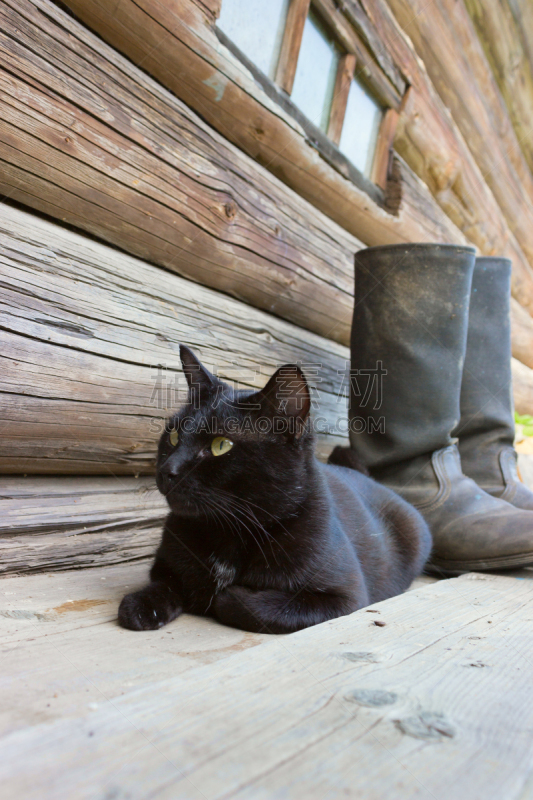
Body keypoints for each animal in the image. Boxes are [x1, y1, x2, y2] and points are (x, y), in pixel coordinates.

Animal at [118, 346, 430, 636]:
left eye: (221, 445)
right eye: (173, 436)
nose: (167, 470)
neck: (228, 531)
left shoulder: (345, 598)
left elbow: (248, 604)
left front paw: (222, 594)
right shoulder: (164, 565)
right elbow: (164, 581)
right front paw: (141, 605)